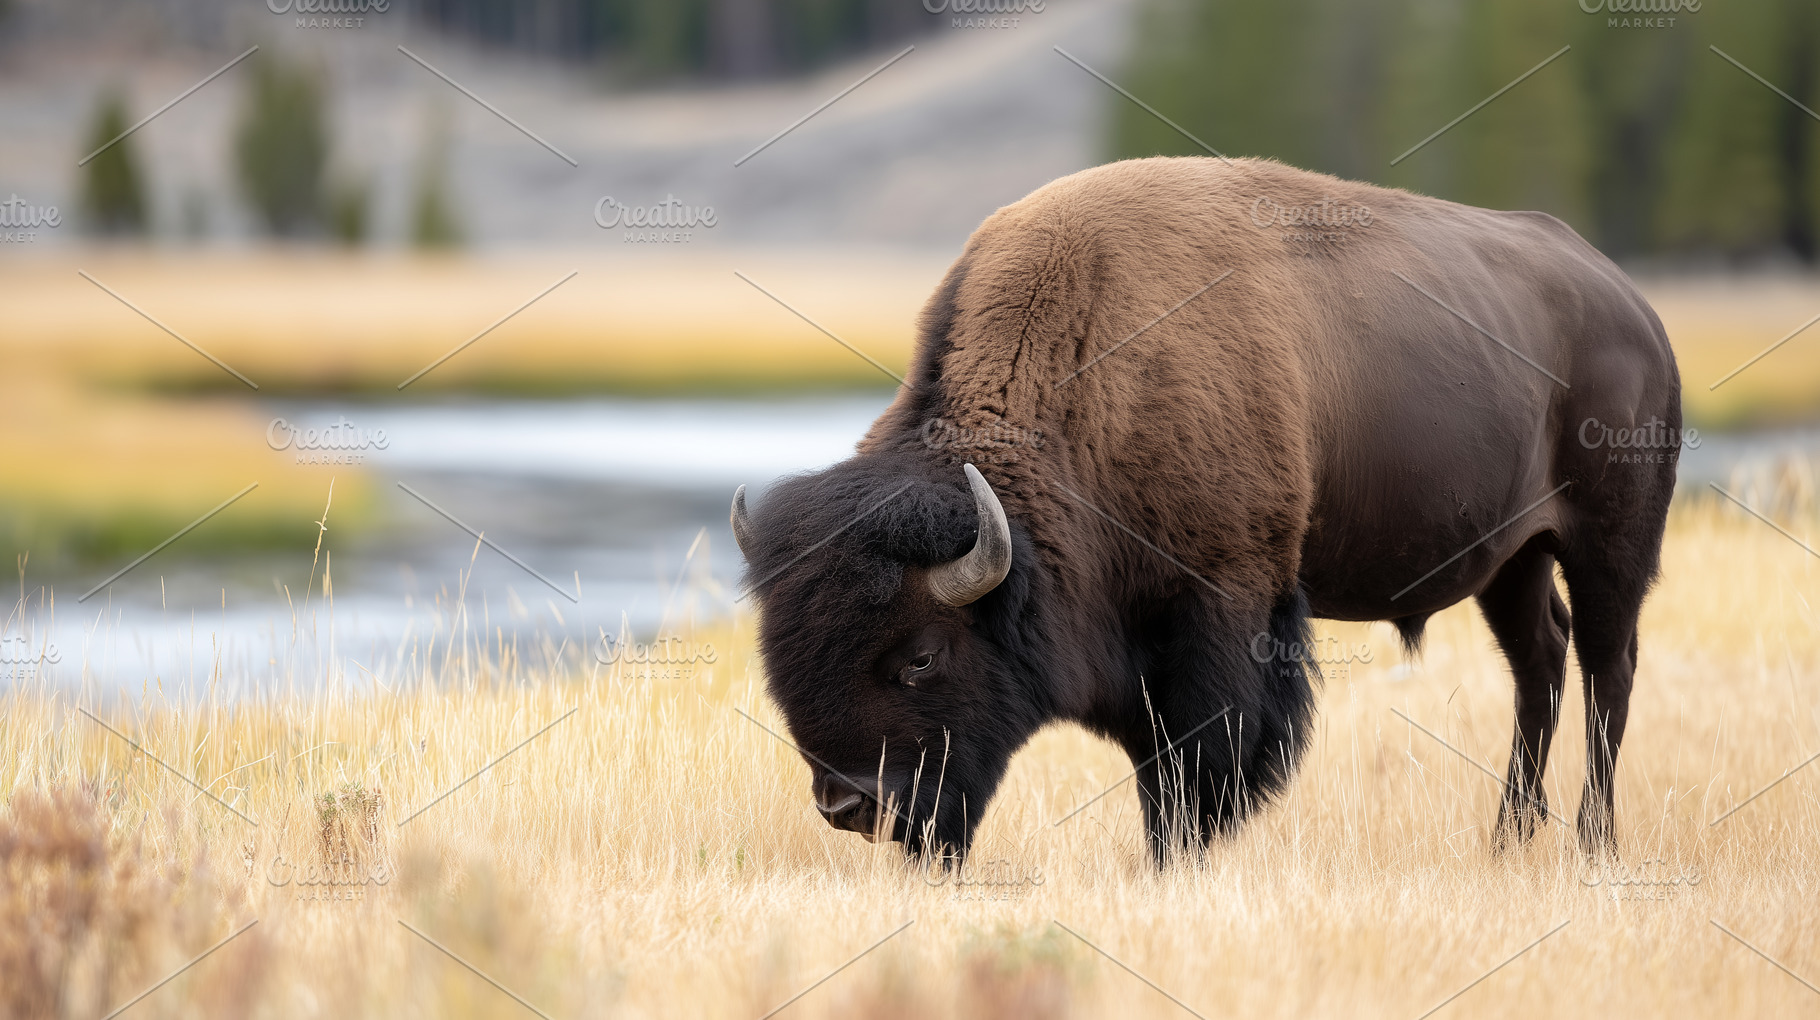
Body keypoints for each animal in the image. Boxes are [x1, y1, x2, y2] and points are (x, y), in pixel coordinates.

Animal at [732, 157, 1679, 861]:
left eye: (922, 657)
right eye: (778, 652)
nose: (849, 804)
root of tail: (1636, 311)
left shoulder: (1223, 606)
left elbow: (1198, 761)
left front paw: (1181, 853)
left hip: (1609, 544)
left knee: (1608, 667)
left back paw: (1593, 842)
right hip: (1511, 561)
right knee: (1540, 663)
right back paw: (1509, 840)